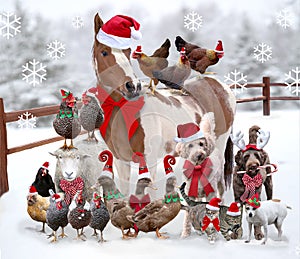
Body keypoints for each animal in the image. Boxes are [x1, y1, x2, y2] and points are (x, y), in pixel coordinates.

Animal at [90, 13, 236, 197]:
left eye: (127, 52)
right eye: (104, 52)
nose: (133, 86)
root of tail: (221, 87)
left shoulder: (149, 160)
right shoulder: (121, 161)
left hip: (219, 145)